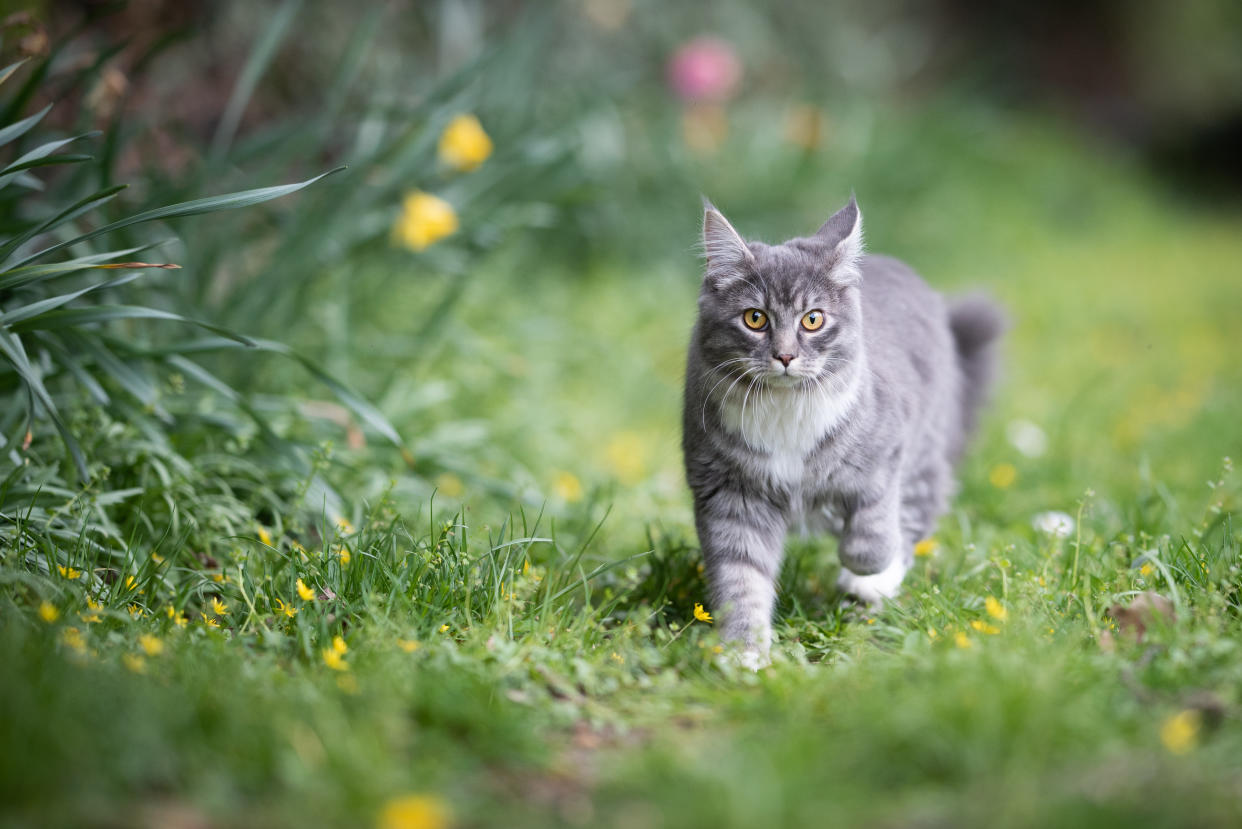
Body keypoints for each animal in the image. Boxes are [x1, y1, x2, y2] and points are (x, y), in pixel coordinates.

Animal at [685, 197, 1003, 671]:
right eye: (755, 319)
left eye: (813, 320)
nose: (785, 356)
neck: (786, 411)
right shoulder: (729, 493)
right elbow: (741, 579)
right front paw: (744, 653)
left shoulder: (887, 451)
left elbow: (873, 532)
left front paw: (864, 569)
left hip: (924, 451)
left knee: (912, 516)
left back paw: (870, 583)